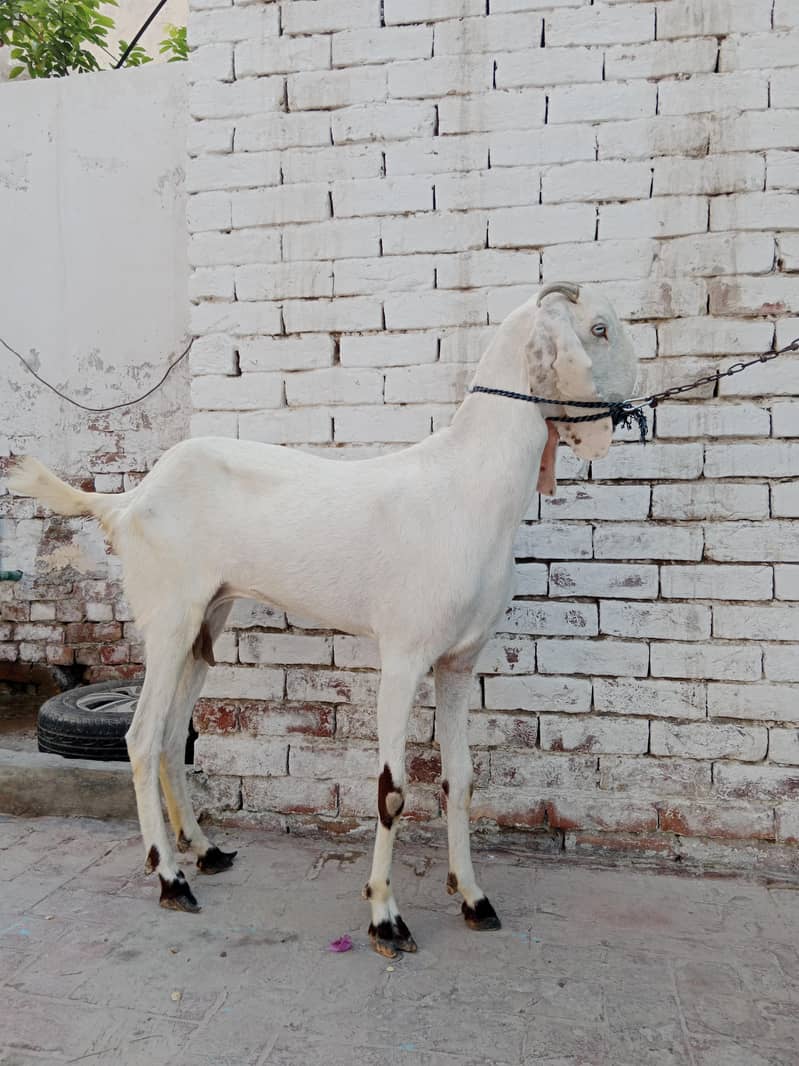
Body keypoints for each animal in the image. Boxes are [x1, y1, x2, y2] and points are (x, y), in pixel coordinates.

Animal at [9, 283, 637, 958]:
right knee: (142, 737)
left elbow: (461, 780)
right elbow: (393, 789)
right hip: (169, 617)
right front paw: (385, 917)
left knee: (175, 736)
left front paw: (473, 898)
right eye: (600, 328)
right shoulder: (404, 655)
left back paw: (205, 851)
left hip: (207, 619)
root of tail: (129, 501)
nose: (632, 404)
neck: (465, 490)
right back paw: (171, 878)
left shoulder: (459, 661)